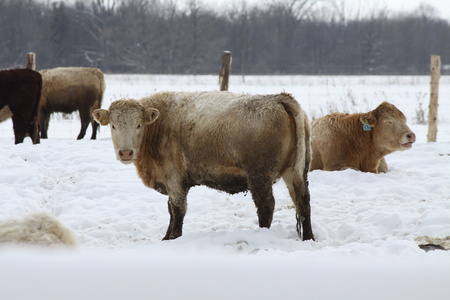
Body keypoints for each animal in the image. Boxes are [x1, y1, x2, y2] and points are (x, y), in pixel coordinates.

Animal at [93, 91, 314, 241]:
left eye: (138, 125)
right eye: (113, 125)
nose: (126, 152)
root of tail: (279, 98)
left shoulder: (174, 179)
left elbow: (177, 210)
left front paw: (172, 238)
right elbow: (170, 209)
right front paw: (166, 237)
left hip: (259, 175)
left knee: (266, 206)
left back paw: (262, 235)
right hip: (295, 172)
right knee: (303, 201)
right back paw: (309, 237)